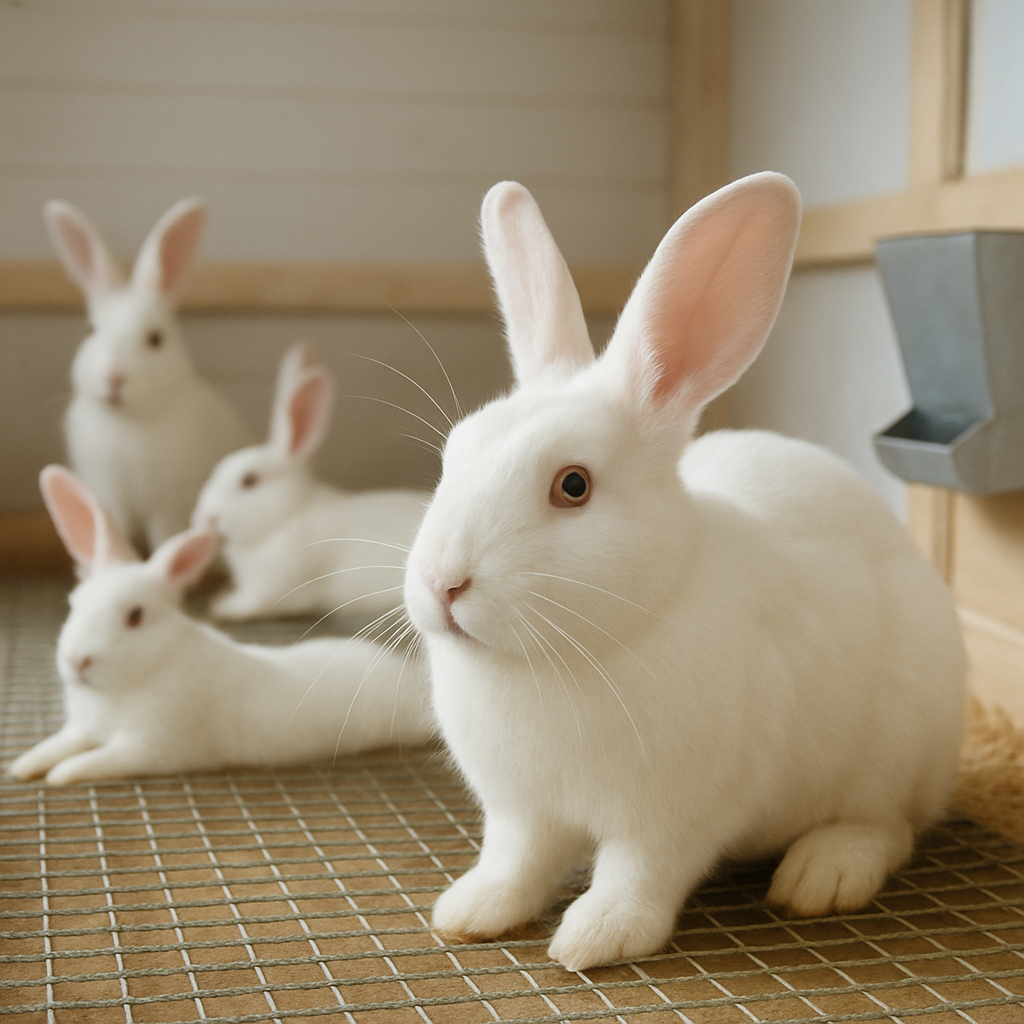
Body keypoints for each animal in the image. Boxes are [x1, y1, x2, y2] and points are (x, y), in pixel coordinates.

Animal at [8, 465, 434, 787]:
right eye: (73, 605)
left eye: (135, 616)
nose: (76, 662)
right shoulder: (82, 729)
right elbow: (58, 744)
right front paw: (22, 767)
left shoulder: (144, 747)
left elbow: (96, 761)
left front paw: (60, 775)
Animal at [45, 197, 253, 555]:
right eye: (90, 331)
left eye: (156, 339)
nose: (114, 379)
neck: (127, 421)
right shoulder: (108, 497)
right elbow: (109, 530)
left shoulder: (167, 508)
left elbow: (164, 541)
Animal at [192, 341, 428, 623]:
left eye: (249, 480)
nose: (206, 518)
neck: (286, 515)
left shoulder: (275, 588)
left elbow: (252, 604)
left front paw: (220, 606)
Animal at [402, 173, 966, 971]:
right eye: (453, 455)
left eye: (572, 485)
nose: (442, 584)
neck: (561, 656)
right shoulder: (521, 811)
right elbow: (515, 862)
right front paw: (471, 911)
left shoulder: (674, 815)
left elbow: (640, 872)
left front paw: (597, 937)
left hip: (895, 747)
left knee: (889, 826)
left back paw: (822, 876)